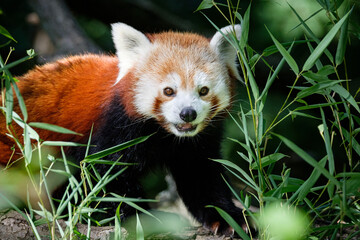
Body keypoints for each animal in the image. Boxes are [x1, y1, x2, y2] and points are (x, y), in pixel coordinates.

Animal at [0, 23, 246, 235]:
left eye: (203, 90)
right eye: (169, 91)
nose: (188, 113)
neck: (164, 134)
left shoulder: (196, 143)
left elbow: (201, 177)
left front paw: (227, 218)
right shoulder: (114, 127)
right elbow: (106, 177)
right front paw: (146, 218)